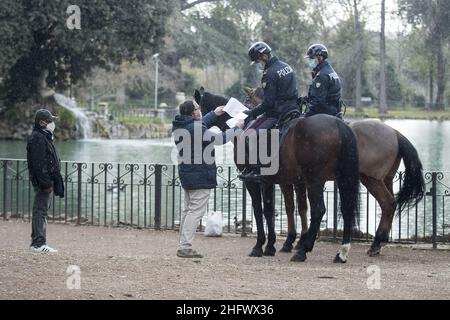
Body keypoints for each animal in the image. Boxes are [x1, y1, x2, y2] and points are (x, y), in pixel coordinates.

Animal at [195, 87, 360, 262]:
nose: (201, 123)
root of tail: (339, 125)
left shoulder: (255, 182)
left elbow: (261, 209)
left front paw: (261, 245)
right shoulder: (276, 181)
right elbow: (276, 209)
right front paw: (274, 245)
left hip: (315, 181)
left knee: (318, 210)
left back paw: (303, 250)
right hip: (343, 179)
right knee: (346, 208)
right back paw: (341, 252)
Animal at [246, 86, 426, 256]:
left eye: (249, 100)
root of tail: (395, 132)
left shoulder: (281, 180)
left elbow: (282, 207)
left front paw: (285, 243)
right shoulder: (296, 180)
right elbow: (299, 207)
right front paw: (294, 241)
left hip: (369, 179)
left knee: (386, 203)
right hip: (384, 179)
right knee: (389, 204)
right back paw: (378, 243)